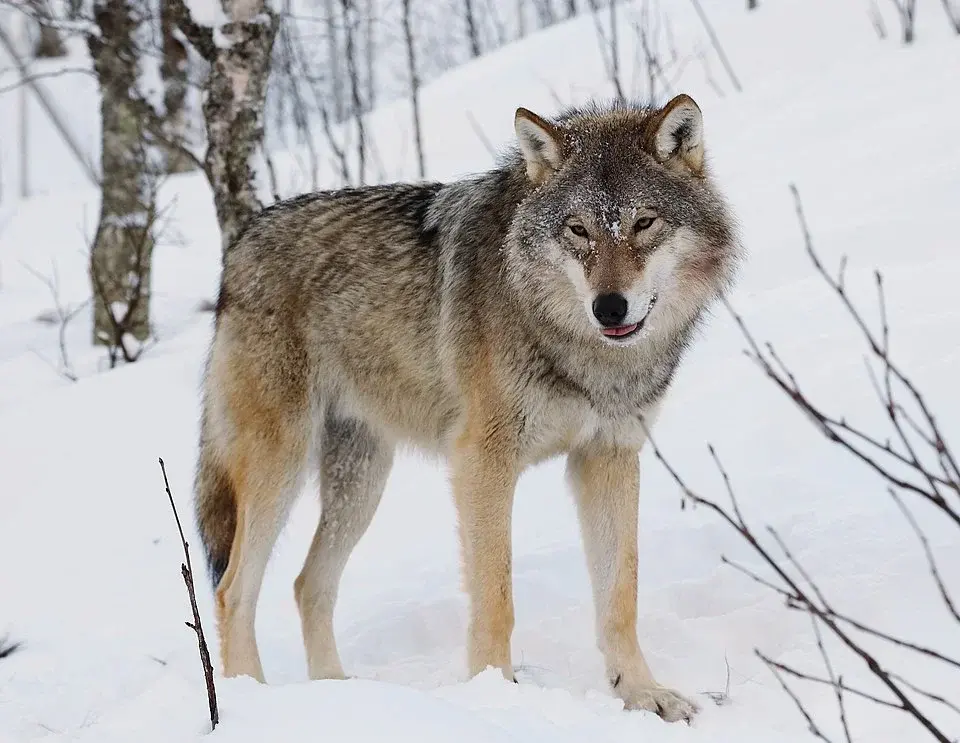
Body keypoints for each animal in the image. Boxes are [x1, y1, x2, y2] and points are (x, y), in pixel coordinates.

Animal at [195, 93, 741, 722]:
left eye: (644, 223)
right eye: (578, 230)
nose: (609, 307)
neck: (578, 349)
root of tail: (241, 242)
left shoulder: (608, 457)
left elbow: (619, 596)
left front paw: (642, 694)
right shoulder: (483, 462)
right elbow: (496, 597)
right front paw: (496, 696)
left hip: (362, 483)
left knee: (308, 584)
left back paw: (339, 694)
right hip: (279, 469)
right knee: (233, 589)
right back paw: (250, 700)